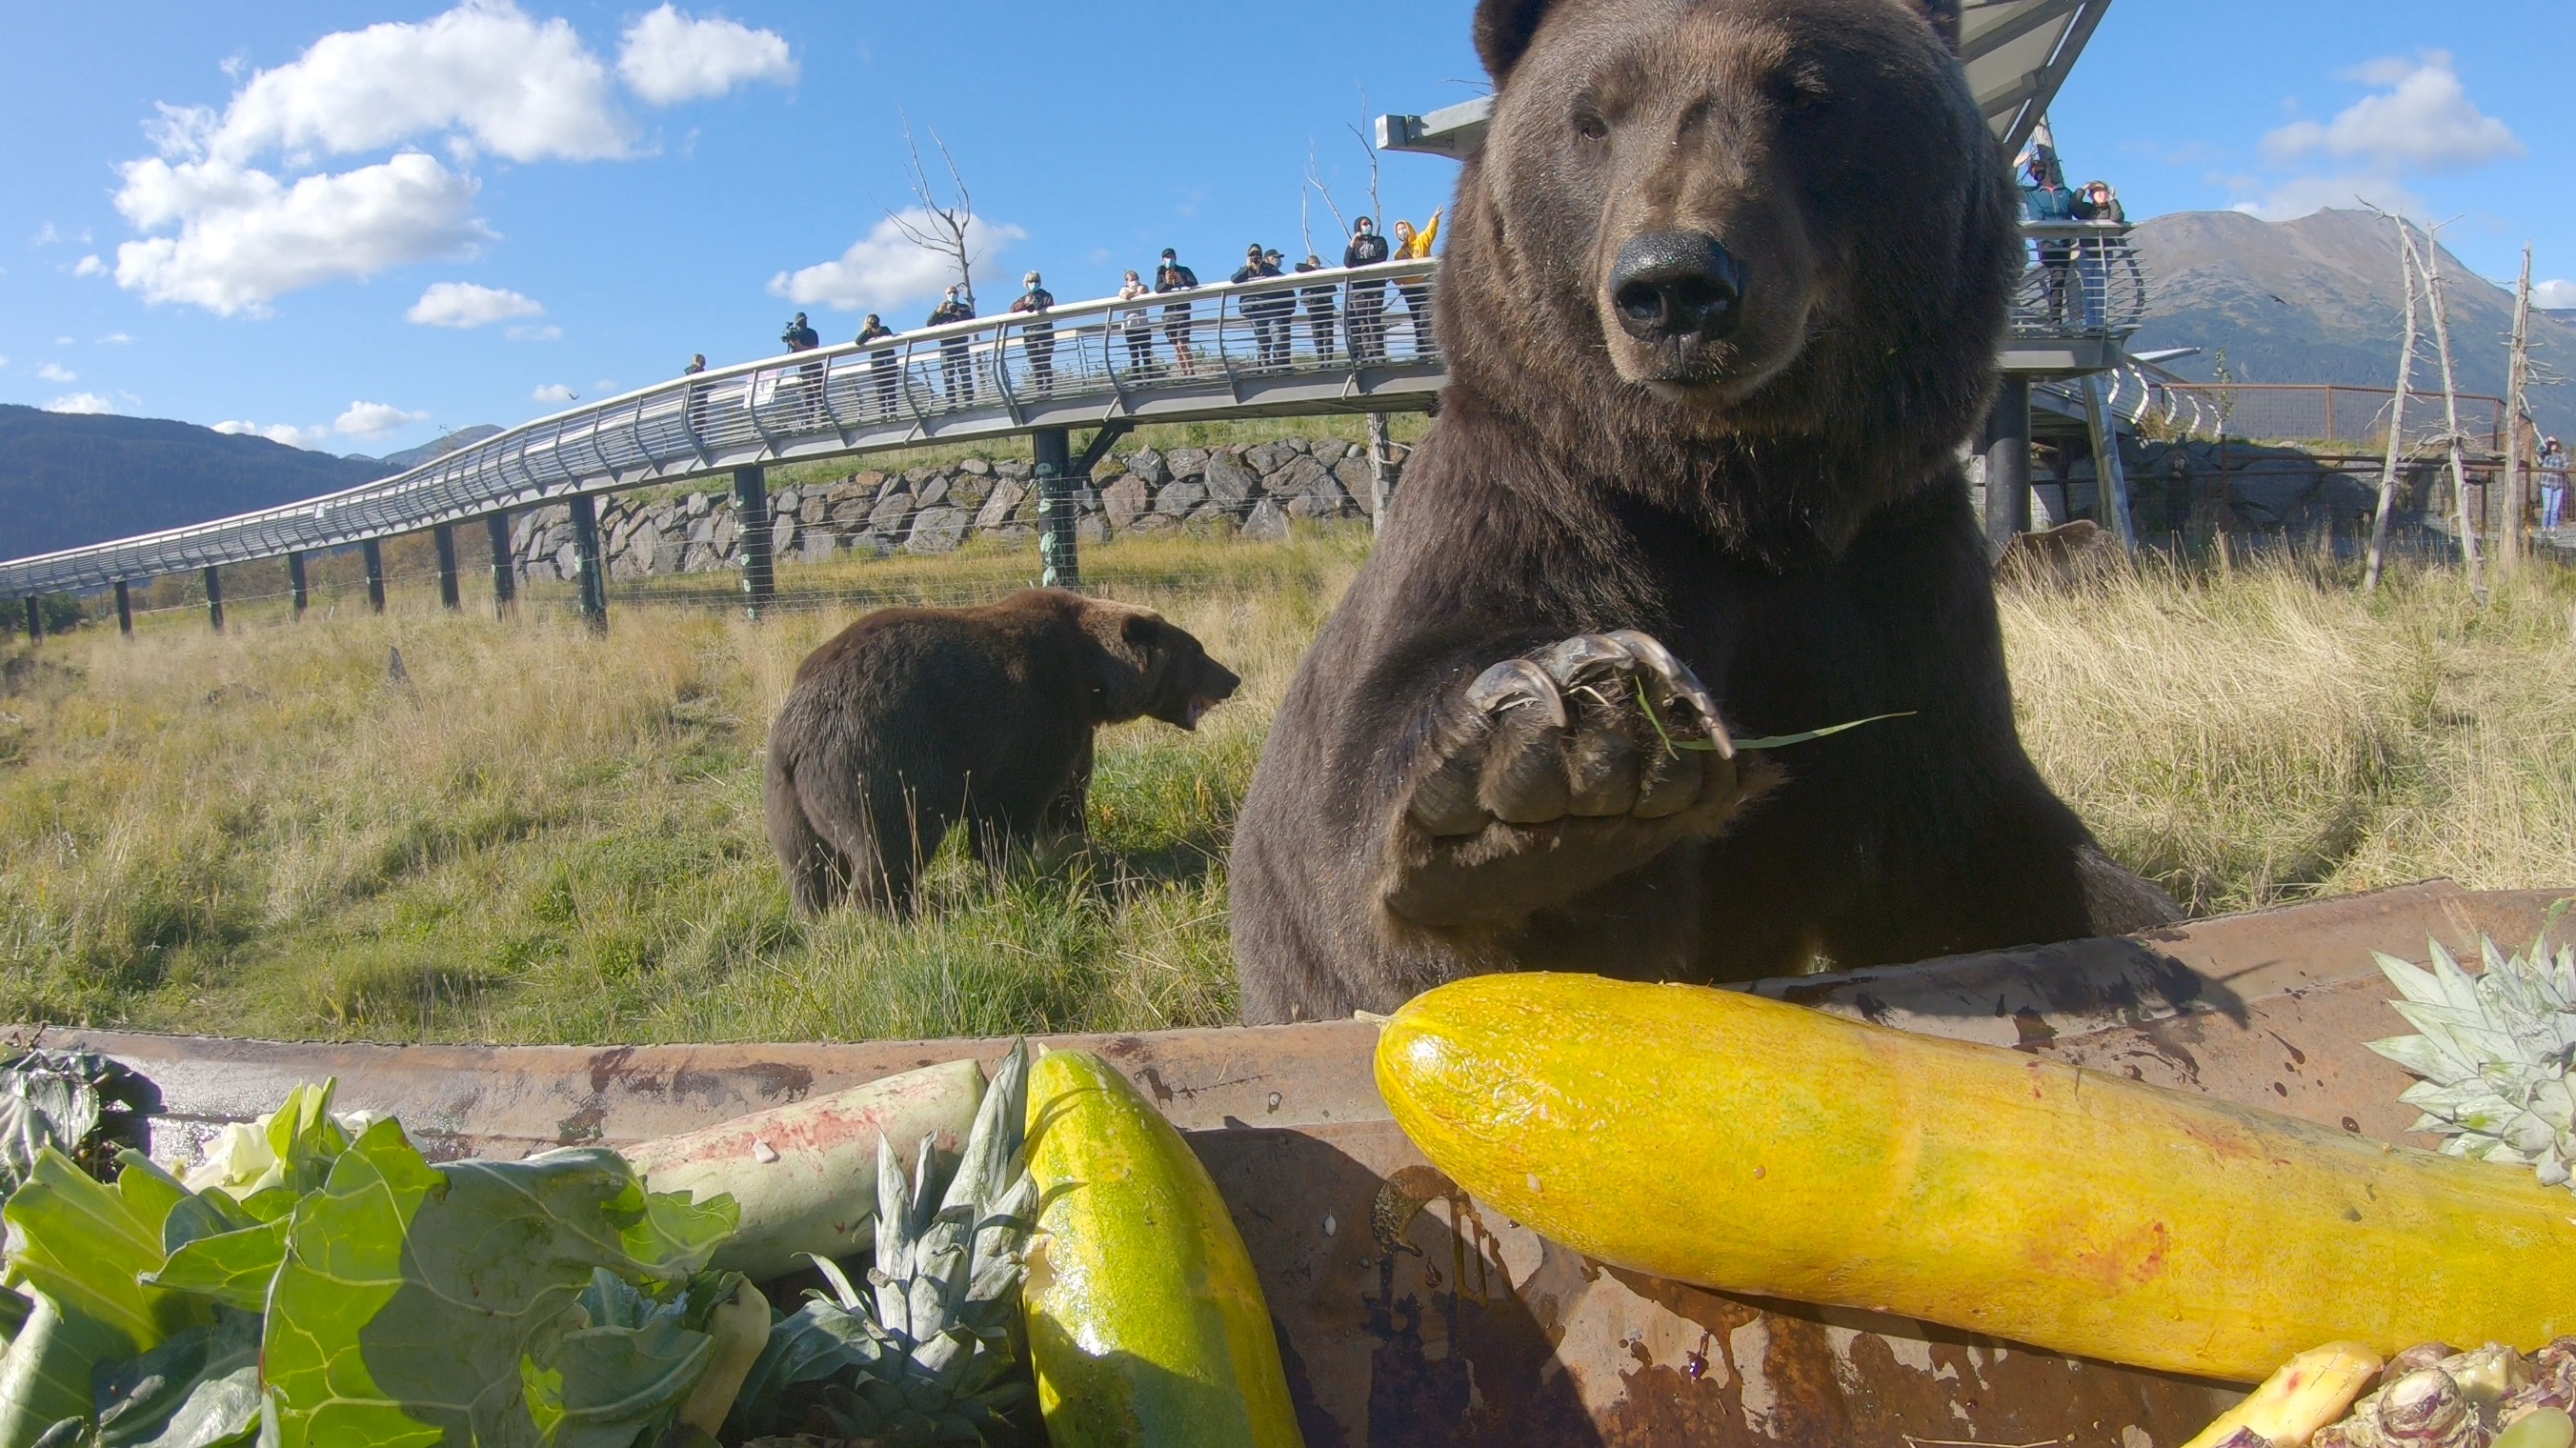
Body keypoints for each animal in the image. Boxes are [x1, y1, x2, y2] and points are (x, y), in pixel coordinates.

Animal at [762, 590, 1236, 912]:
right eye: (1197, 650)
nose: (1233, 678)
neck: (1092, 680)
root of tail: (799, 731)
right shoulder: (1033, 714)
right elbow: (1013, 803)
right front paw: (1014, 869)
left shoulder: (1076, 731)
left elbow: (1069, 794)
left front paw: (1077, 846)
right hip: (877, 759)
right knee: (889, 845)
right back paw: (889, 914)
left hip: (788, 798)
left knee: (808, 867)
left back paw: (821, 916)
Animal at [1226, 0, 2174, 1020]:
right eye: (1592, 117)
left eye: (1806, 96)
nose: (1675, 284)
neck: (1744, 495)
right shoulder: (1548, 508)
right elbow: (1398, 835)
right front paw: (1568, 762)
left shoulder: (1896, 581)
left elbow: (1978, 848)